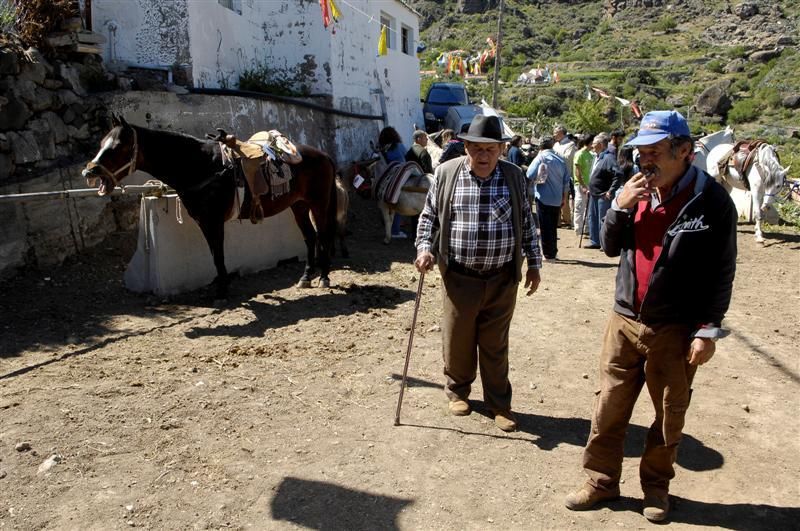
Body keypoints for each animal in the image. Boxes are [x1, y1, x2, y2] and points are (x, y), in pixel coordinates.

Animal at [83, 116, 338, 298]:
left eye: (118, 146)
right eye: (101, 143)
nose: (89, 171)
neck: (202, 166)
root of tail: (324, 155)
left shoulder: (213, 221)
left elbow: (218, 254)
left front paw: (222, 290)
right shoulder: (203, 222)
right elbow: (215, 254)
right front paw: (221, 285)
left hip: (318, 203)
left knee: (323, 235)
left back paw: (324, 277)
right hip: (299, 205)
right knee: (310, 237)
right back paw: (306, 277)